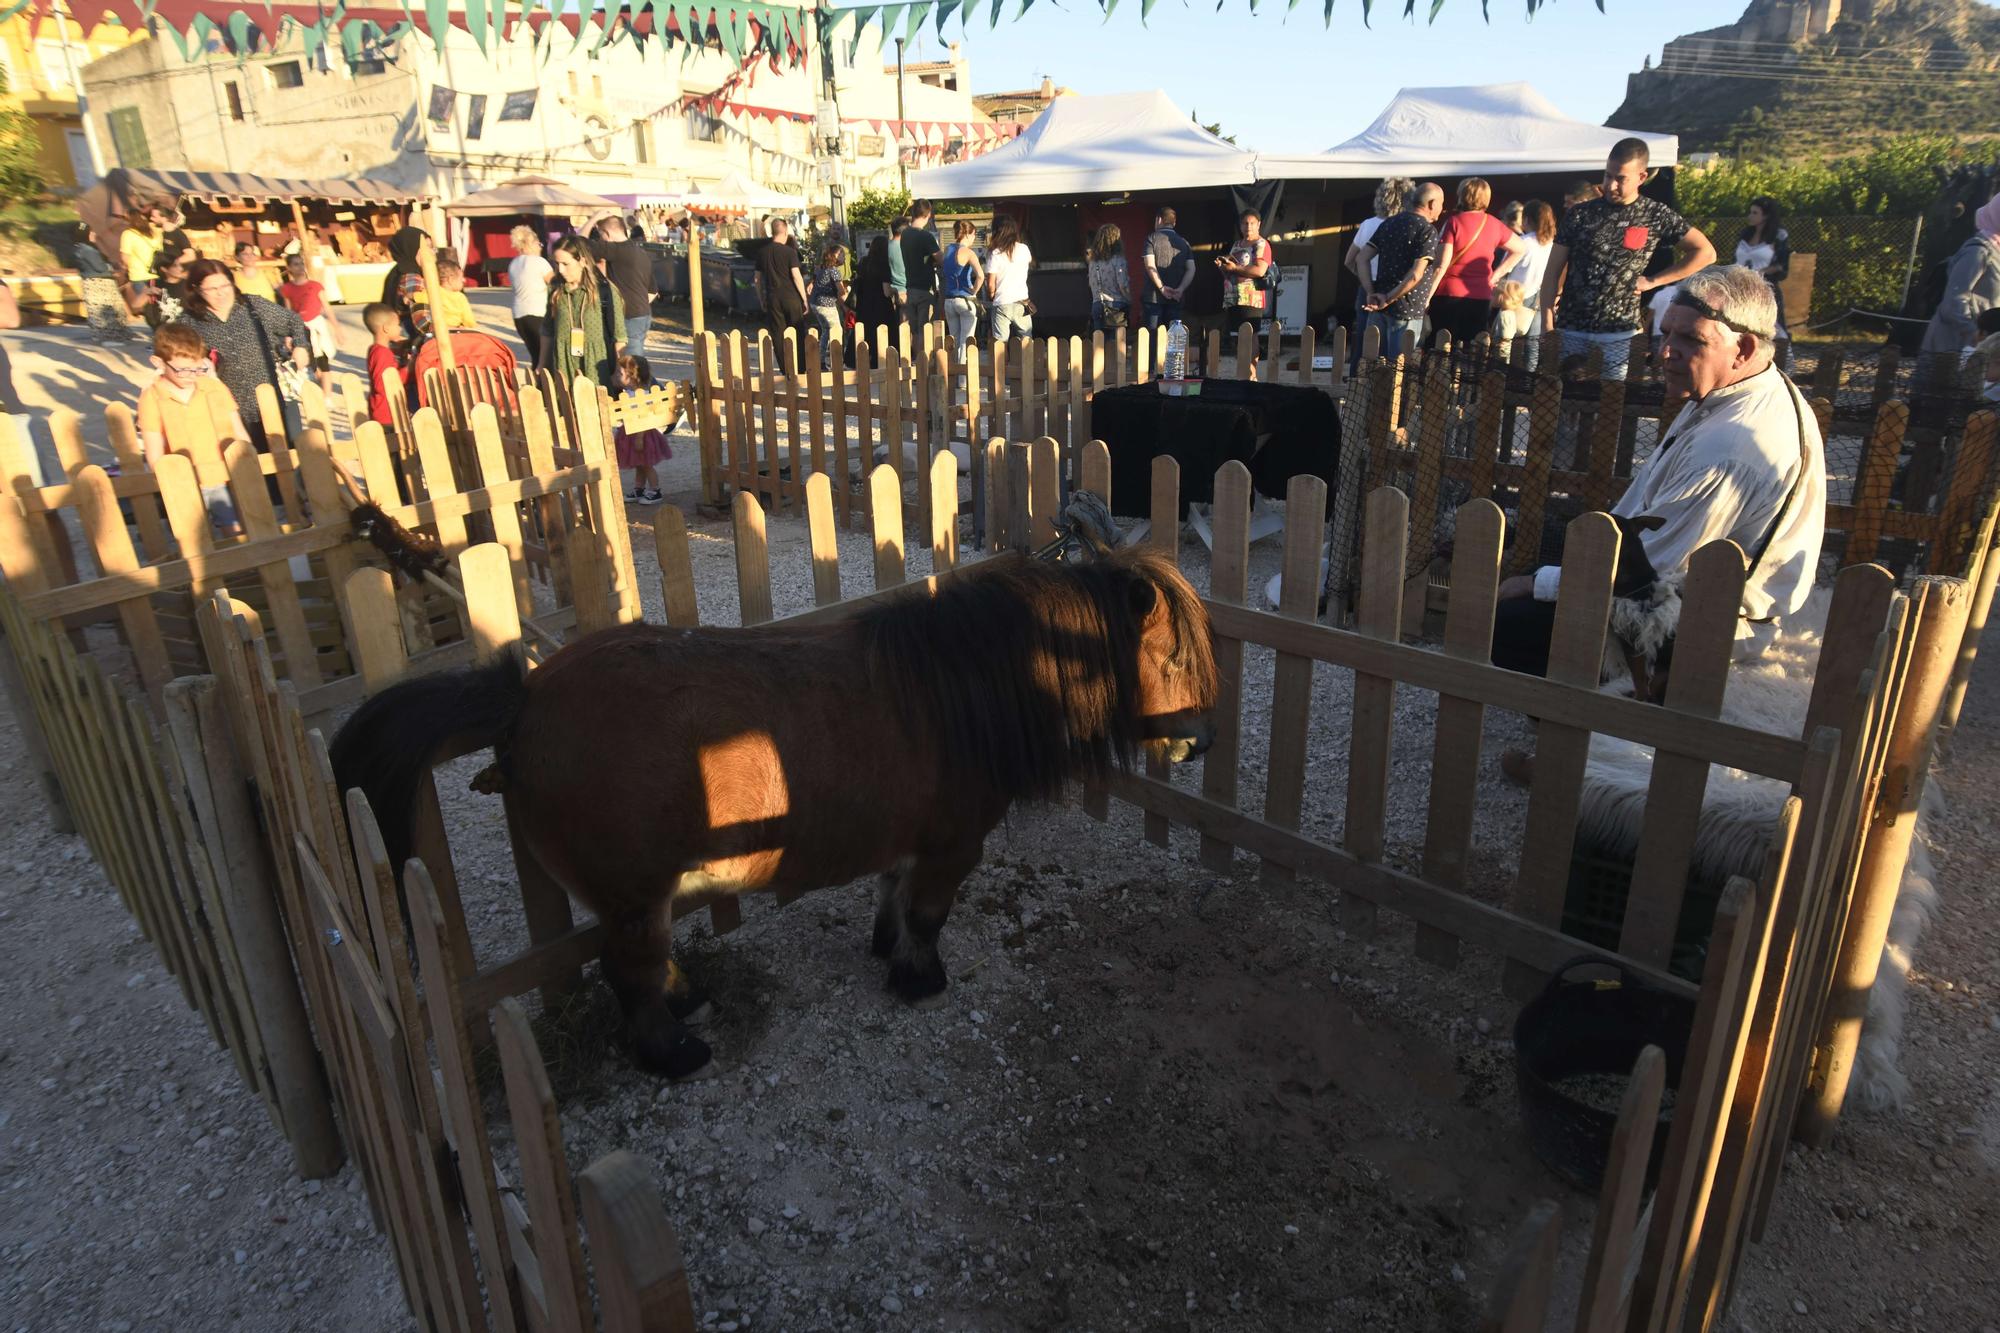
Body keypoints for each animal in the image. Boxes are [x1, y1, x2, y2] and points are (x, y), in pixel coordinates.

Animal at [328, 544, 1216, 1072]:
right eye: (1171, 657)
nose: (1200, 743)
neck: (961, 685)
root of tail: (525, 699)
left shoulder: (908, 837)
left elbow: (893, 892)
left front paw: (886, 948)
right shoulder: (952, 844)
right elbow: (928, 915)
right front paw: (919, 977)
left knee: (646, 959)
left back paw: (685, 996)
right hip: (631, 891)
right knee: (626, 968)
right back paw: (673, 1050)